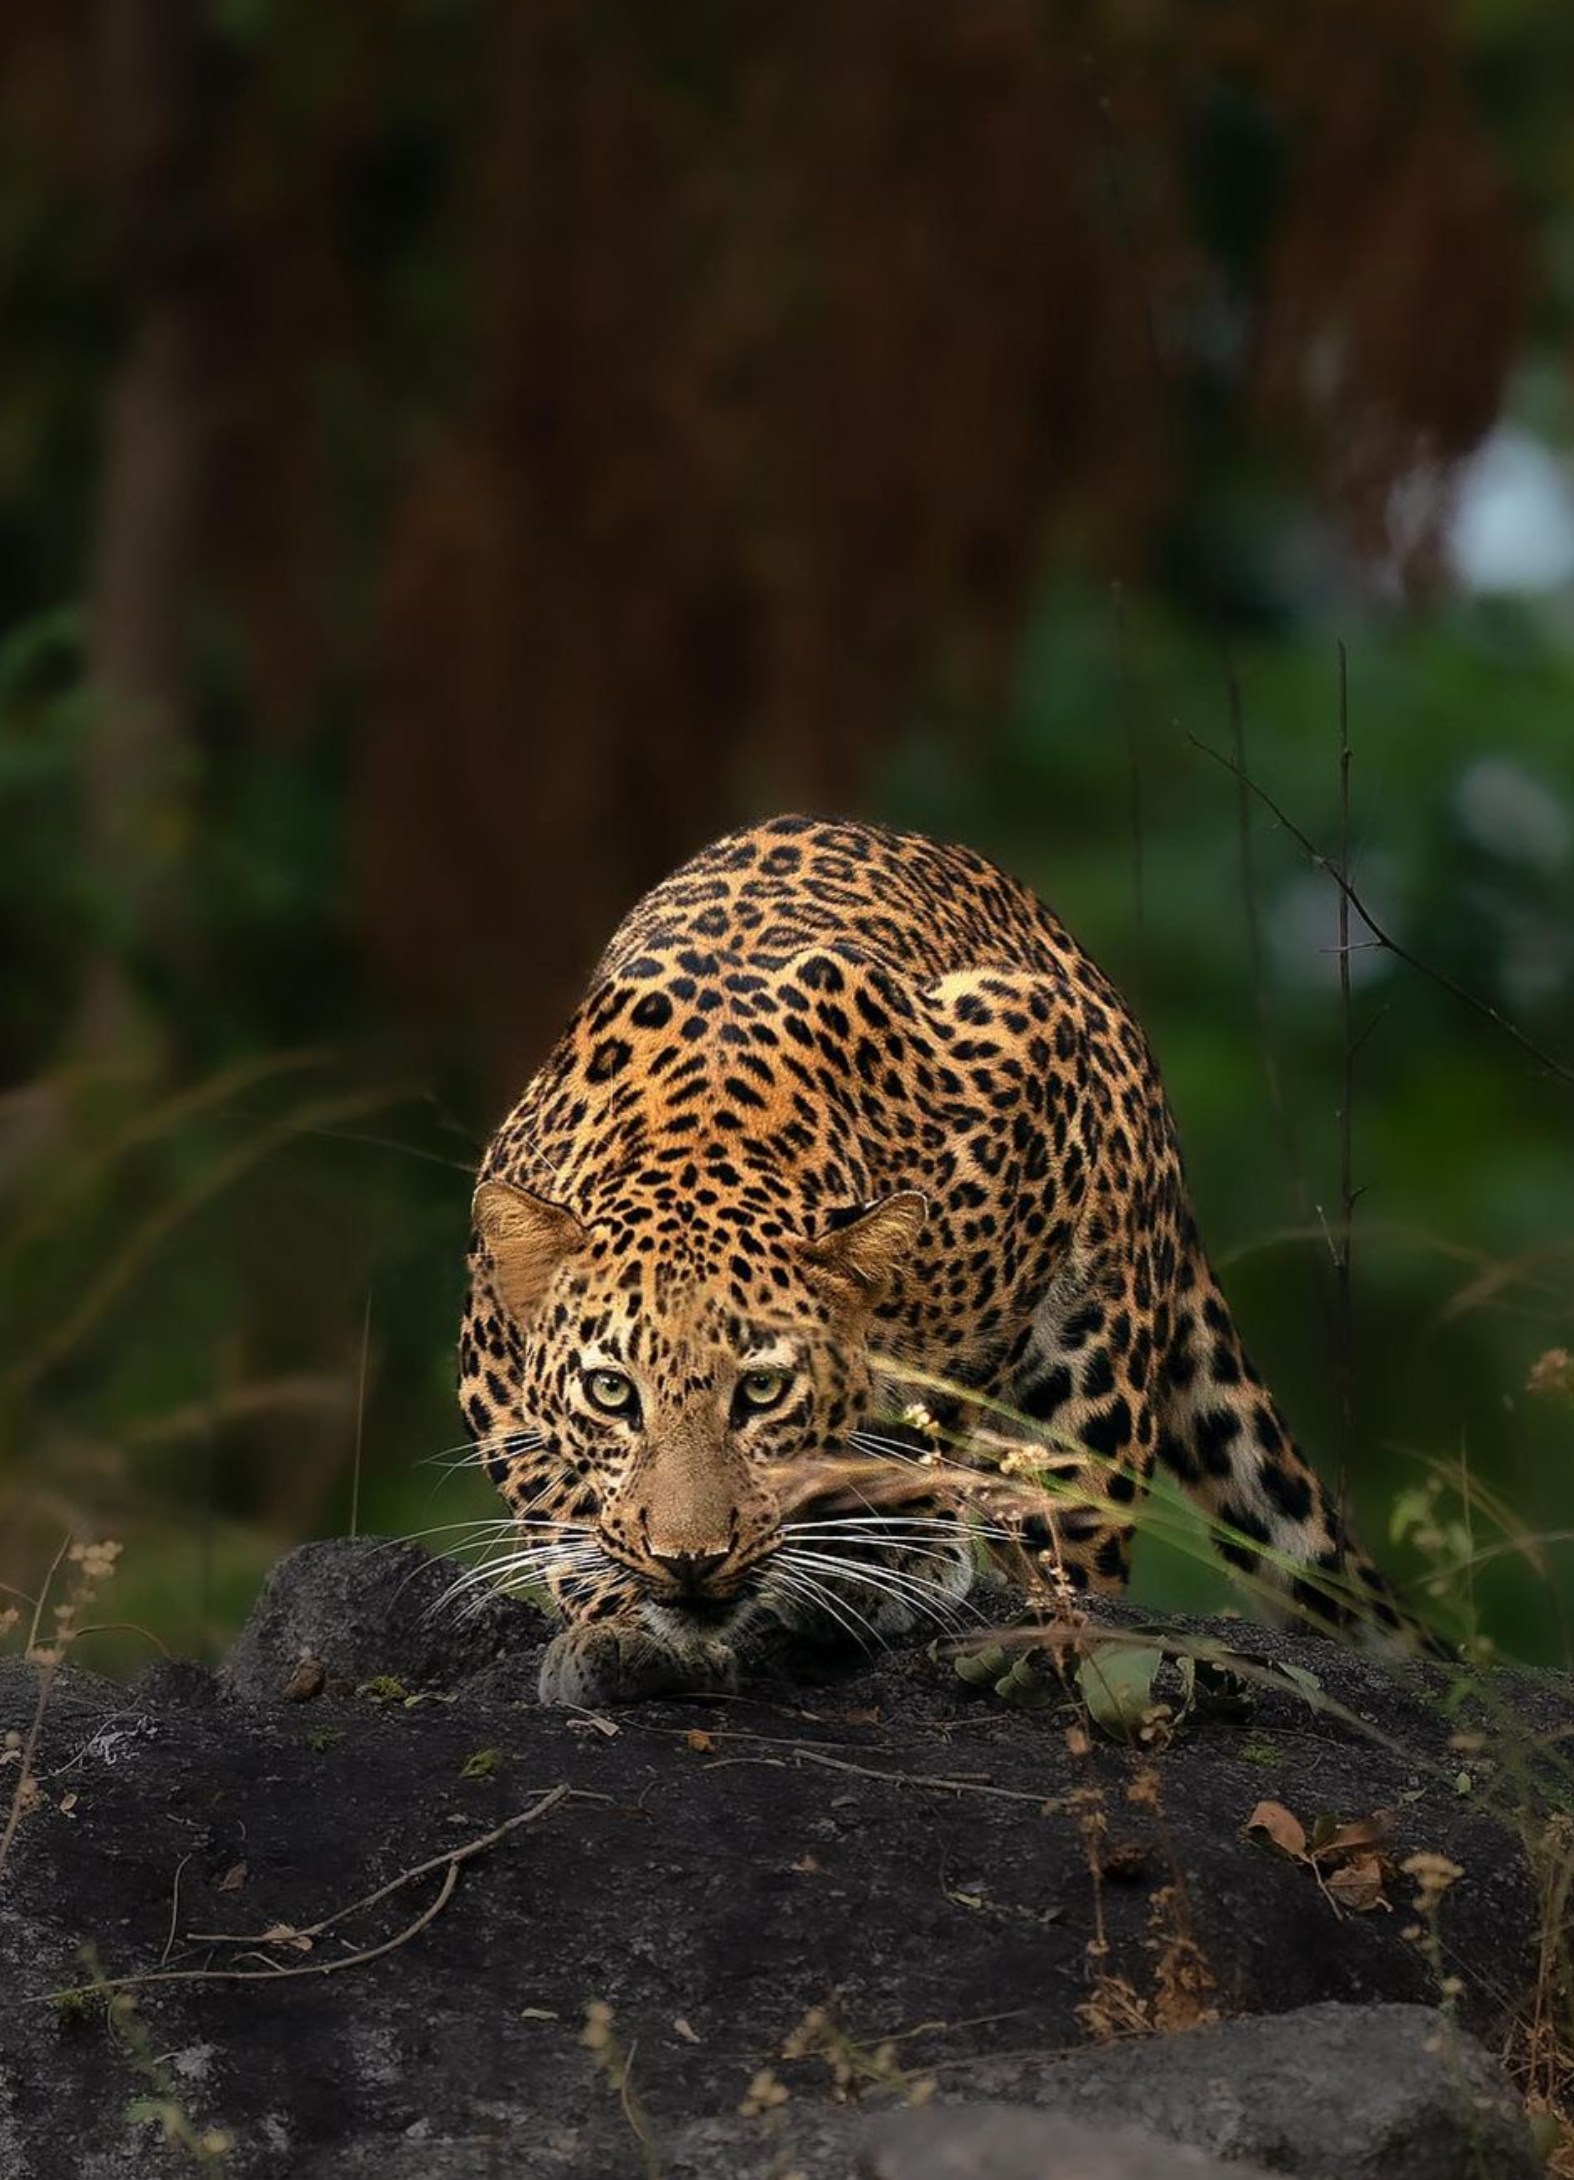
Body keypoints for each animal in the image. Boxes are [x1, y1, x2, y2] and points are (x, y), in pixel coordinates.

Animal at [457, 815, 1412, 1700]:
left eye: (761, 1392)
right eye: (611, 1392)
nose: (690, 1560)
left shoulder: (1035, 1071)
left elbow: (939, 1407)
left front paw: (899, 1555)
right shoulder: (495, 1354)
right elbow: (557, 1497)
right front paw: (623, 1623)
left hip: (1099, 1339)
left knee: (1070, 1523)